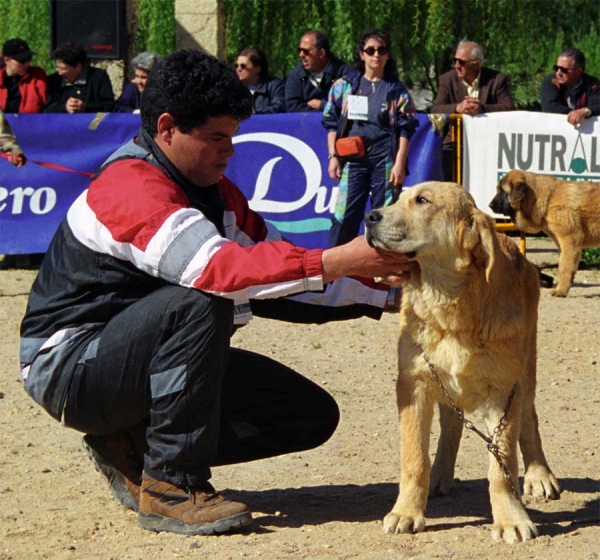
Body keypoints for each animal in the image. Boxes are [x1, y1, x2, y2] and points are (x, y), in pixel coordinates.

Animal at [366, 183, 564, 544]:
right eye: (399, 197)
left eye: (422, 200)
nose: (369, 217)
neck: (450, 308)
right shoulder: (414, 384)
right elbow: (414, 458)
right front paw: (407, 512)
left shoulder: (503, 391)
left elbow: (502, 464)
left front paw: (511, 518)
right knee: (451, 425)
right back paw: (439, 476)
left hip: (526, 370)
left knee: (529, 421)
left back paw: (539, 475)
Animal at [490, 167, 600, 296]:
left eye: (503, 191)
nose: (489, 205)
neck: (548, 199)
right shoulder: (562, 245)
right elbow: (563, 264)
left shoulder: (569, 241)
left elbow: (564, 267)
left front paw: (560, 290)